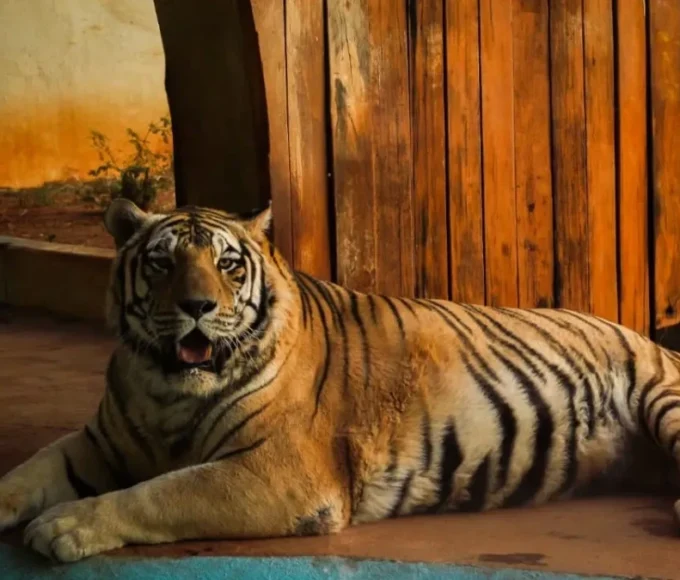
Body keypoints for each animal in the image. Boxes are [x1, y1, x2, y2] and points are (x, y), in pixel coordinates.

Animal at [1, 197, 680, 563]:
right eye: (163, 263)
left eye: (227, 264)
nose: (197, 306)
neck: (167, 389)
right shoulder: (99, 442)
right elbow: (28, 472)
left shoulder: (279, 471)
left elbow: (162, 493)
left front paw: (64, 526)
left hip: (663, 397)